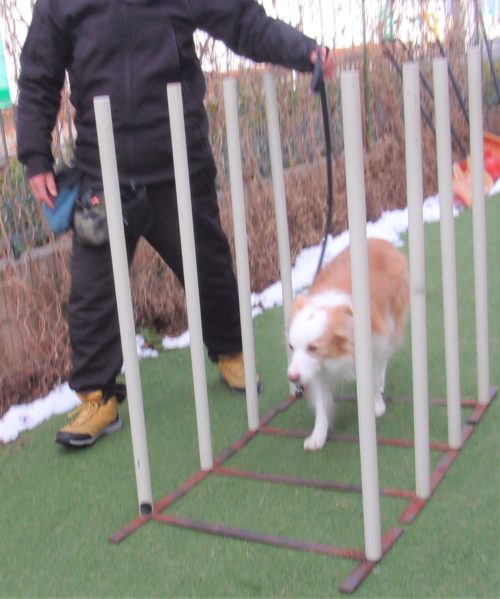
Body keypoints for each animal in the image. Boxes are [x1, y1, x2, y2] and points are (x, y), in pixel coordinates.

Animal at [287, 238, 410, 451]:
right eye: (291, 347)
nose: (292, 377)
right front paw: (318, 435)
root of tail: (382, 241)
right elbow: (321, 403)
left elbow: (373, 378)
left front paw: (377, 405)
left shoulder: (375, 344)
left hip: (392, 320)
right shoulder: (318, 368)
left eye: (313, 348)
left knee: (385, 358)